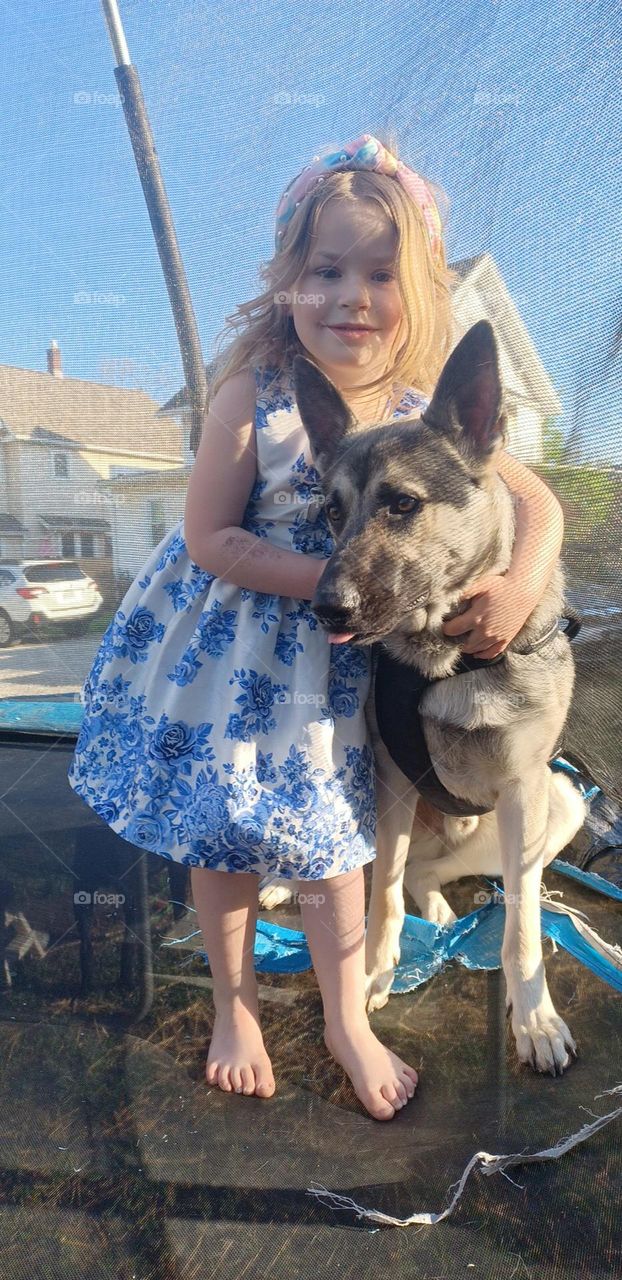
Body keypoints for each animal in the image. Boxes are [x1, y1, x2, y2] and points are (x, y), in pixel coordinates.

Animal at [268, 314, 588, 1075]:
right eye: (332, 513)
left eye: (403, 504)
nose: (325, 608)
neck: (444, 661)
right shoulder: (390, 782)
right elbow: (380, 893)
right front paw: (371, 973)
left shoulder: (525, 791)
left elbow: (522, 923)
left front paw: (533, 1019)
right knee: (391, 867)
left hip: (560, 802)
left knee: (431, 872)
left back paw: (442, 915)